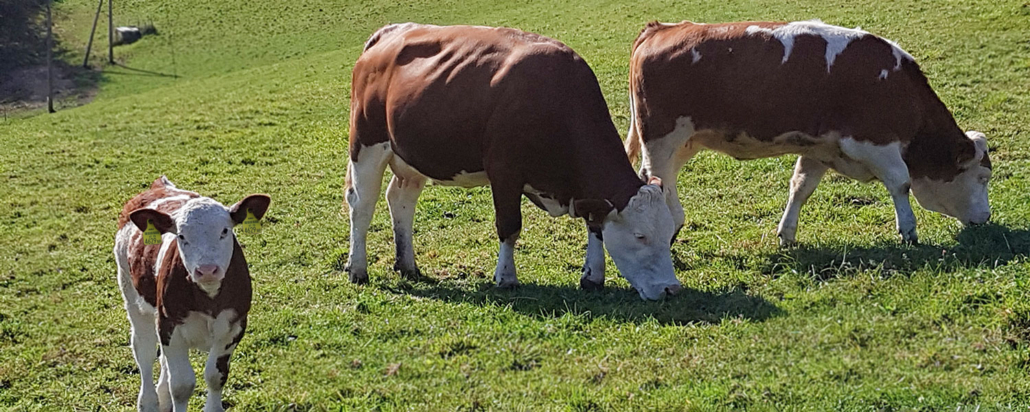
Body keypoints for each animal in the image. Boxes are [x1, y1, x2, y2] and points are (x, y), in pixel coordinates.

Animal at [112, 177, 269, 412]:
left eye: (225, 231)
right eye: (181, 236)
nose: (207, 270)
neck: (209, 298)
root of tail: (160, 184)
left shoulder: (235, 326)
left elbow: (215, 376)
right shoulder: (170, 325)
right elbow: (181, 385)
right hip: (132, 297)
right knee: (144, 351)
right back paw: (149, 402)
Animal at [346, 22, 683, 298]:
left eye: (669, 233)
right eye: (640, 236)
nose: (671, 288)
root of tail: (391, 32)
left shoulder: (588, 193)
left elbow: (595, 225)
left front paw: (593, 276)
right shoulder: (505, 173)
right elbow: (509, 226)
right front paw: (506, 277)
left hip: (411, 157)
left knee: (400, 201)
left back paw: (407, 264)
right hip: (366, 145)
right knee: (362, 206)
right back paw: (357, 269)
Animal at [622, 20, 992, 245]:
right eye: (983, 178)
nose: (987, 218)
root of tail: (661, 29)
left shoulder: (819, 149)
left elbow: (801, 187)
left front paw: (787, 234)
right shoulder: (877, 143)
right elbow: (900, 183)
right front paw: (909, 231)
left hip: (682, 143)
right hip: (661, 139)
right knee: (658, 181)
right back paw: (672, 224)